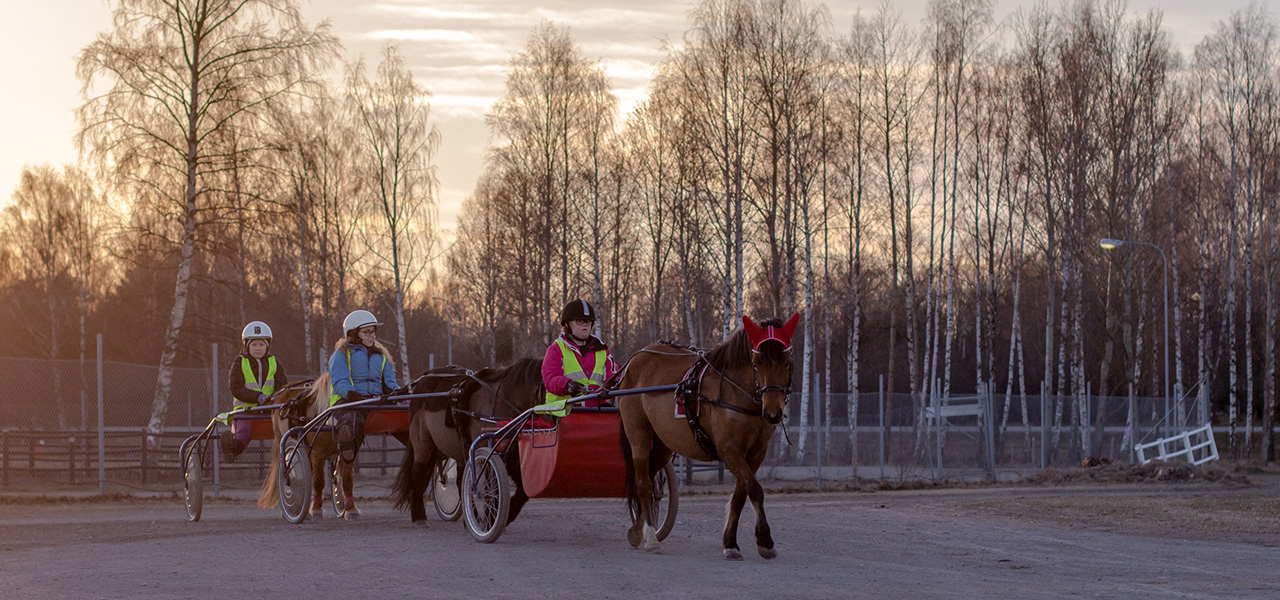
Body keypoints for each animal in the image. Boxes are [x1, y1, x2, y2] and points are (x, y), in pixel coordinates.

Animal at [391, 358, 547, 527]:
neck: (503, 400)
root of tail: (422, 382)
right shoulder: (485, 450)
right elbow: (489, 488)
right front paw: (490, 517)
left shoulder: (511, 454)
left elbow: (521, 489)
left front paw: (500, 516)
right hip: (422, 443)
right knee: (417, 475)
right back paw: (419, 516)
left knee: (459, 480)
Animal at [614, 313, 793, 557]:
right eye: (757, 363)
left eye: (787, 363)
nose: (773, 412)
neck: (735, 391)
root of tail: (636, 359)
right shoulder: (729, 450)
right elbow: (755, 489)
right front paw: (765, 540)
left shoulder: (757, 452)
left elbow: (741, 492)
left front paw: (730, 542)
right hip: (638, 433)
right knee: (642, 482)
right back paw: (650, 536)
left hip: (662, 442)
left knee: (650, 478)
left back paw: (637, 528)